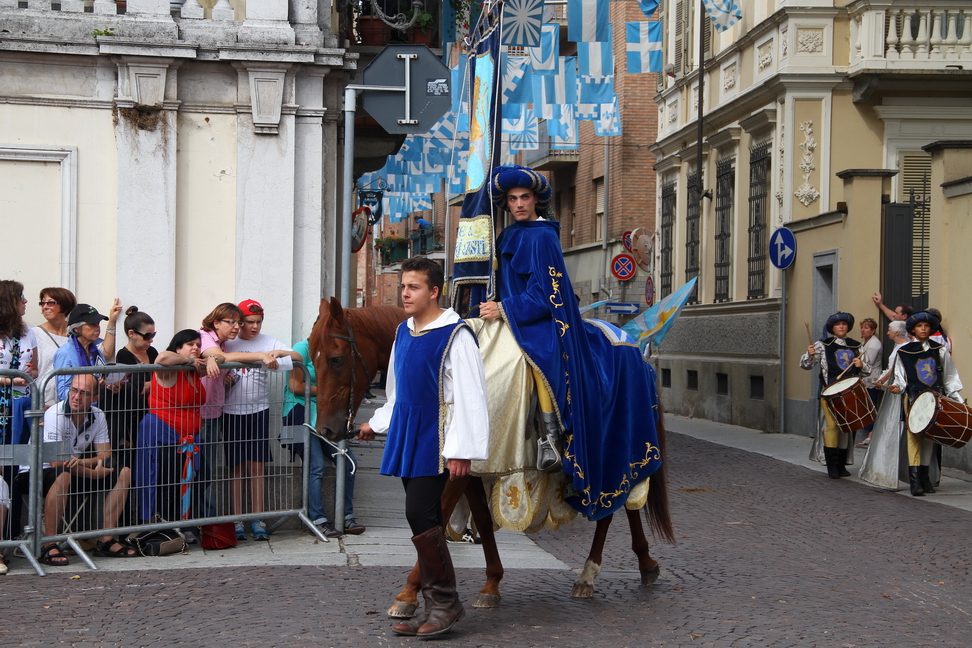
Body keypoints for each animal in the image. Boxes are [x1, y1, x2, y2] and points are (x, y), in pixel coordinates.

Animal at [312, 298, 676, 612]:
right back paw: (641, 565)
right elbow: (484, 523)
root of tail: (632, 345)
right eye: (312, 357)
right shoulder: (473, 471)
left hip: (613, 451)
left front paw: (408, 594)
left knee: (620, 504)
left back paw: (596, 572)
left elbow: (437, 518)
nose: (326, 430)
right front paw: (491, 584)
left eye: (335, 358)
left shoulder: (453, 471)